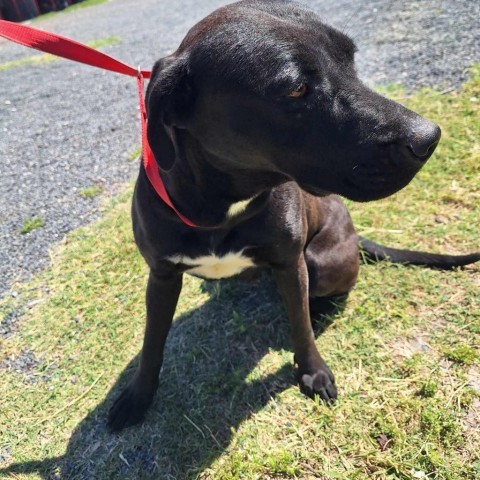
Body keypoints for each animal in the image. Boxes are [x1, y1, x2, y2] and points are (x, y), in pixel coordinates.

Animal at [107, 0, 478, 432]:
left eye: (351, 58)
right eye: (297, 89)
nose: (429, 137)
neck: (223, 207)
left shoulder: (290, 262)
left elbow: (300, 325)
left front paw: (312, 370)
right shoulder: (162, 276)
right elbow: (152, 340)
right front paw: (137, 395)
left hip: (320, 260)